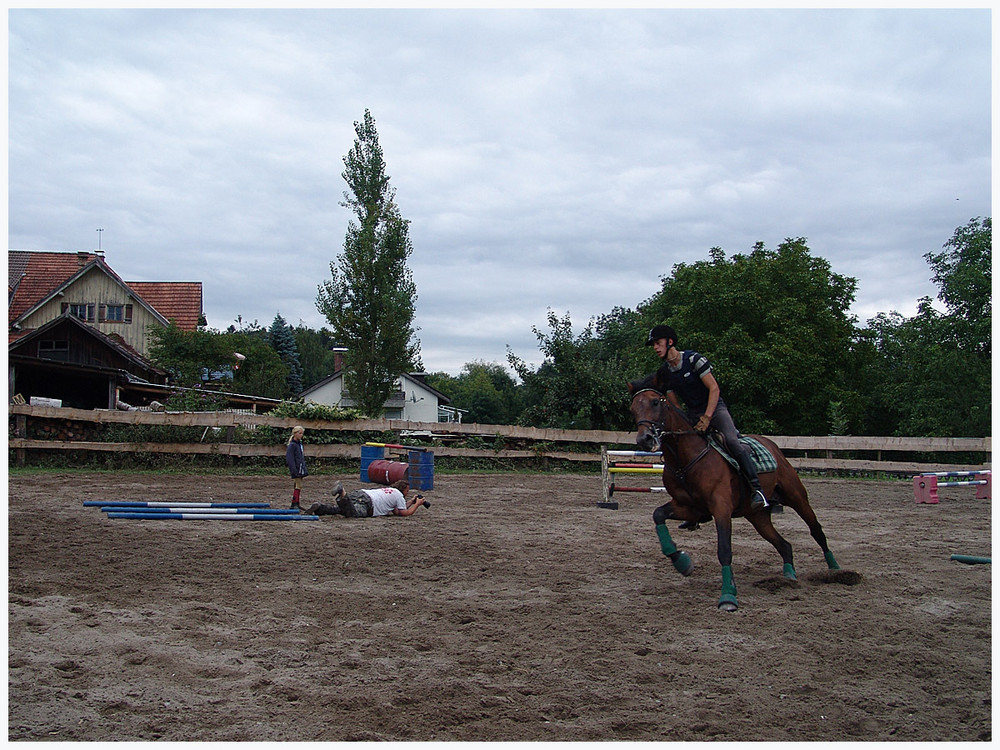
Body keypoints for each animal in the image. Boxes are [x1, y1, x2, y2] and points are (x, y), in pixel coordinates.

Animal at [628, 382, 840, 612]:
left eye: (655, 402)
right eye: (632, 409)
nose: (644, 439)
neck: (686, 459)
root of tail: (772, 446)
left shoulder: (721, 509)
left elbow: (724, 550)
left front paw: (728, 596)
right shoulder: (689, 508)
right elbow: (658, 515)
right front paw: (682, 562)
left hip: (797, 497)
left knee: (816, 530)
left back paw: (836, 570)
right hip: (758, 517)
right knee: (784, 545)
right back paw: (789, 576)